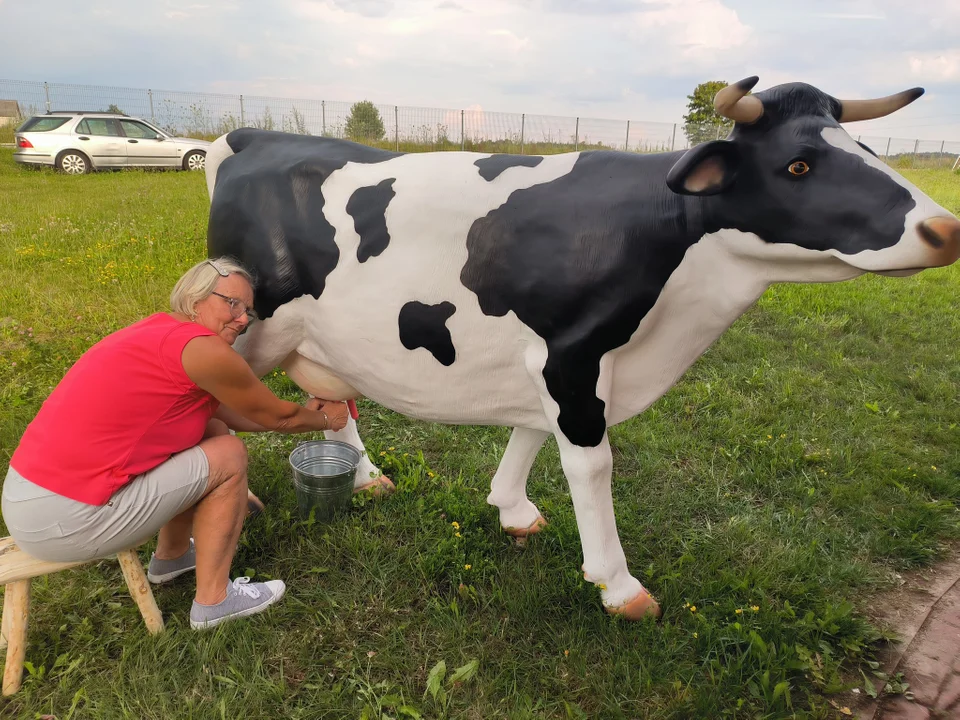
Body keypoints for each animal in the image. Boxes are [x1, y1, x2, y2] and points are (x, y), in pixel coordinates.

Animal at [204, 79, 960, 620]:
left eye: (866, 150)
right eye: (798, 164)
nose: (944, 228)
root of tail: (247, 136)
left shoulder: (553, 357)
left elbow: (533, 433)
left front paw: (512, 509)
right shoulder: (571, 353)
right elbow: (590, 463)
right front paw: (618, 584)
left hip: (314, 332)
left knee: (330, 395)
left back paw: (363, 476)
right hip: (252, 321)